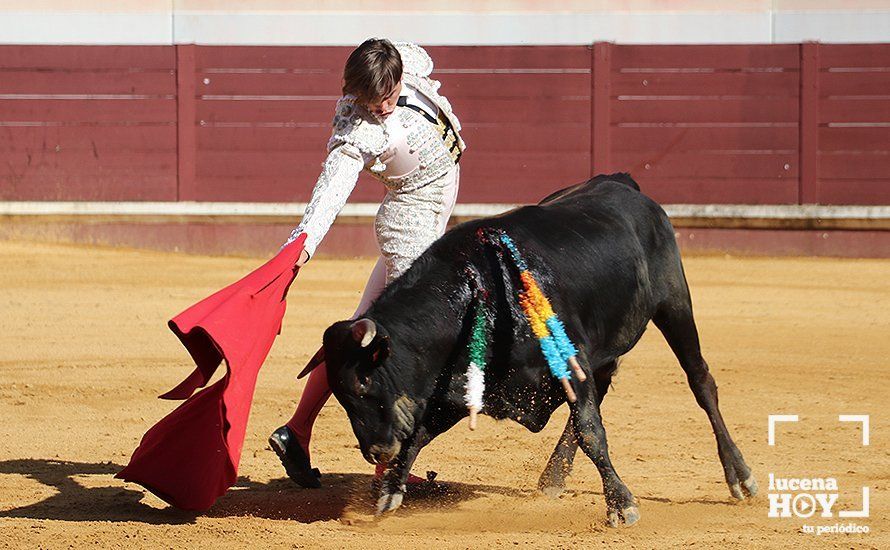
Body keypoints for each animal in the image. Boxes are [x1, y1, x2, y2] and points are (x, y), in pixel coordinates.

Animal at [312, 175, 756, 528]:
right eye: (341, 396)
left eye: (364, 382)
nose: (375, 451)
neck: (475, 294)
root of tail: (622, 183)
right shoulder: (461, 387)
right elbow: (419, 433)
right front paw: (390, 489)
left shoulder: (571, 363)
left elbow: (592, 430)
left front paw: (621, 504)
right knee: (601, 392)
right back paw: (553, 477)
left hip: (674, 304)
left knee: (700, 381)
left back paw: (740, 475)